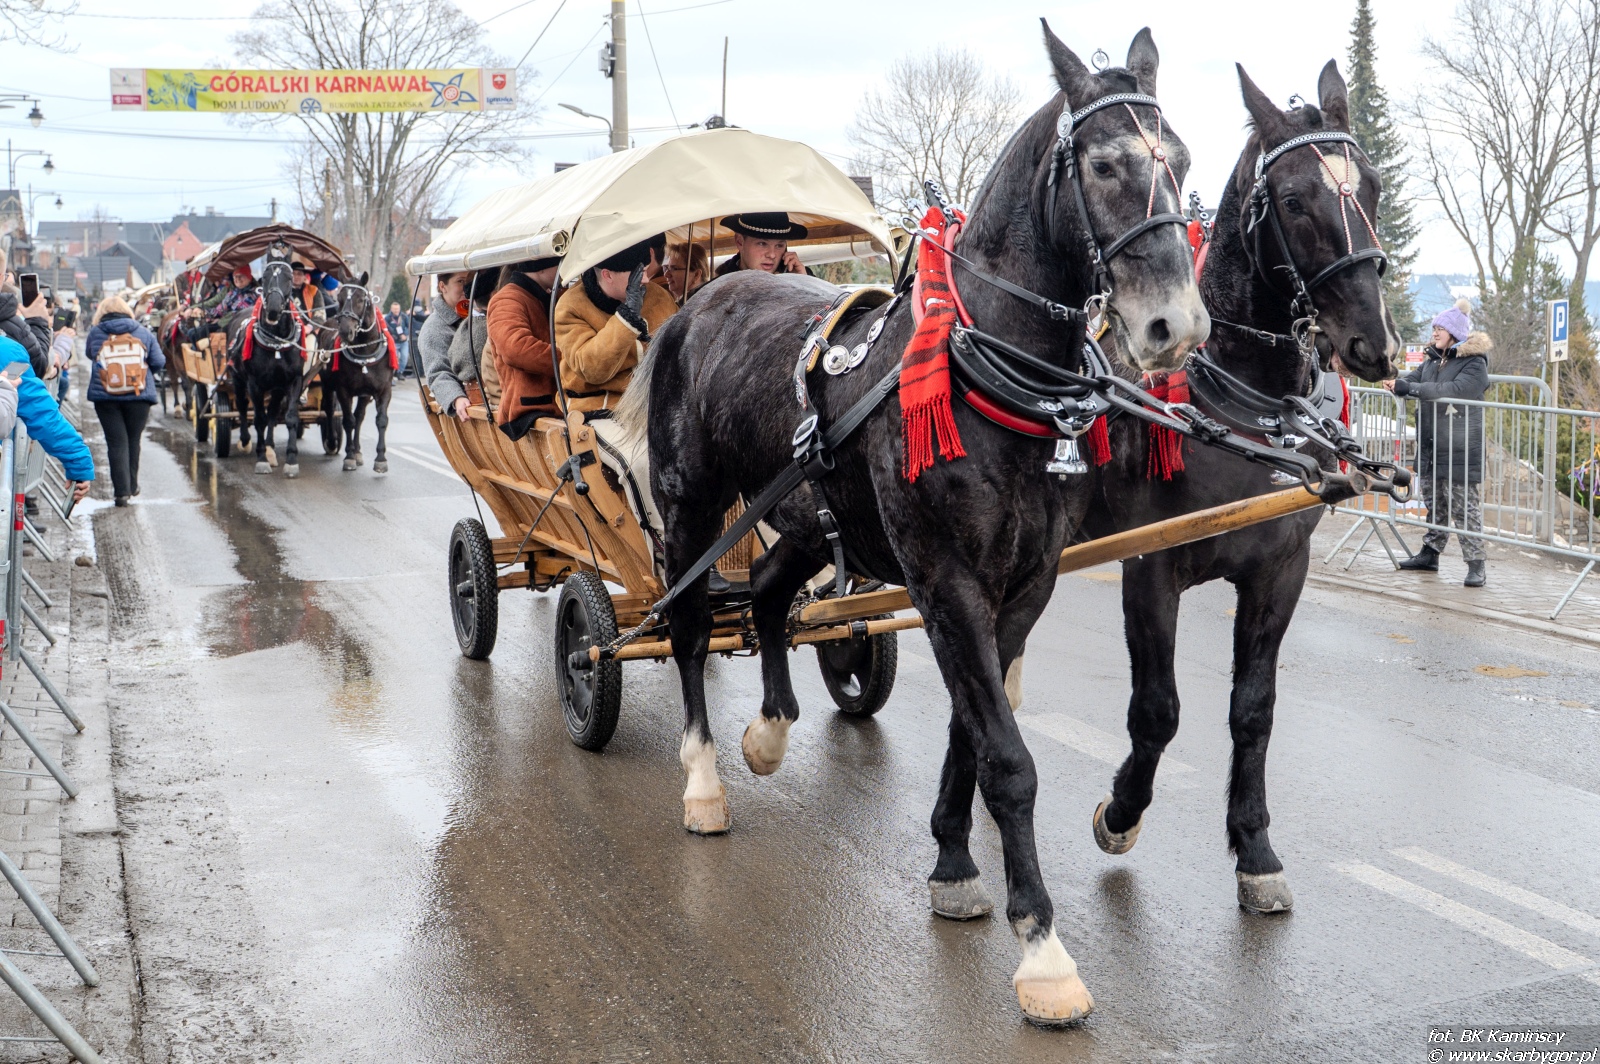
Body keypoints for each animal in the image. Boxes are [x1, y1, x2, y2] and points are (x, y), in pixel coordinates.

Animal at [227, 254, 307, 477]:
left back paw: (271, 449)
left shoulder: (293, 381)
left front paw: (291, 460)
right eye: (264, 277)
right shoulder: (254, 384)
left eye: (289, 277)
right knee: (243, 407)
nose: (272, 310)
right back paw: (246, 441)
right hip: (237, 379)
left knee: (272, 412)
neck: (277, 342)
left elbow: (289, 417)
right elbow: (259, 419)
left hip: (277, 387)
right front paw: (261, 458)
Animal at [321, 273, 394, 474]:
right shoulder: (343, 390)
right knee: (330, 410)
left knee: (360, 416)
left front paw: (380, 459)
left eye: (361, 299)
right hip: (327, 385)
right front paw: (349, 456)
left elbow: (381, 420)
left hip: (364, 393)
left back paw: (359, 451)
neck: (365, 350)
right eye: (339, 298)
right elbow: (348, 421)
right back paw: (333, 442)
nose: (346, 331)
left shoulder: (384, 390)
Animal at [620, 24, 1209, 1025]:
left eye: (1182, 160)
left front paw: (954, 864)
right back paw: (703, 779)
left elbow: (976, 727)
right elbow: (1008, 758)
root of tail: (699, 304)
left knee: (768, 594)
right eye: (1103, 163)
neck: (987, 375)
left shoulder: (1022, 586)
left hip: (806, 514)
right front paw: (1042, 949)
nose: (1176, 325)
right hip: (695, 506)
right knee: (692, 622)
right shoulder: (945, 579)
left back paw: (770, 729)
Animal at [1084, 62, 1399, 914]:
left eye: (1373, 186)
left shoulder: (1278, 571)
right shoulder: (1149, 566)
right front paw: (1122, 811)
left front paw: (1255, 847)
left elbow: (1253, 711)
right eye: (1292, 200)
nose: (1374, 343)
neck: (1244, 408)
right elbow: (1157, 711)